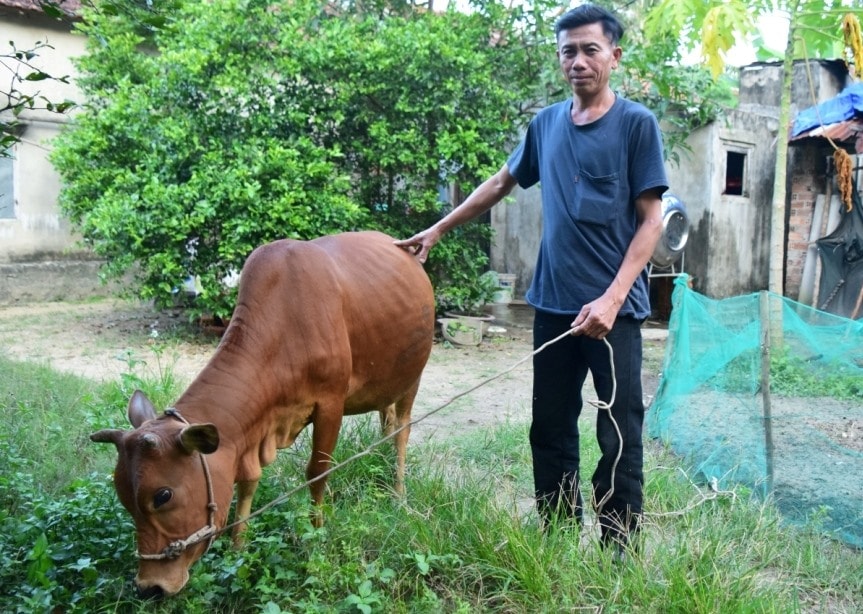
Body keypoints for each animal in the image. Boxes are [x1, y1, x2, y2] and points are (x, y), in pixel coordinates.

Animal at [91, 231, 436, 596]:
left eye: (163, 495)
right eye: (122, 497)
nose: (149, 587)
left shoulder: (331, 402)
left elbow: (317, 472)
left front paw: (316, 536)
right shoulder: (249, 436)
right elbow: (247, 484)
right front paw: (237, 547)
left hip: (413, 376)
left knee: (402, 430)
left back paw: (398, 493)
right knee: (387, 421)